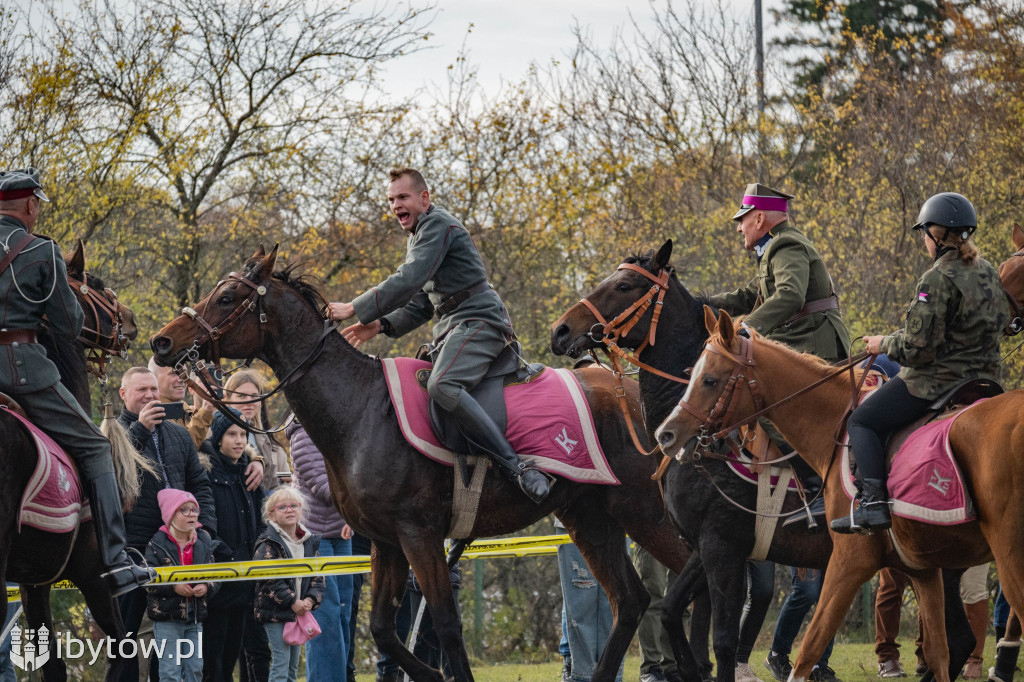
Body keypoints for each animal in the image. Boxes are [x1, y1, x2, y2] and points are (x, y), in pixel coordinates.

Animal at [2, 240, 143, 679]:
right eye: (93, 282)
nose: (130, 319)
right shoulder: (93, 576)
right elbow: (123, 648)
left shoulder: (32, 582)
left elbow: (51, 663)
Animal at [149, 244, 696, 679]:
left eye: (225, 297)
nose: (161, 341)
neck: (361, 408)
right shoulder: (388, 543)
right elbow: (384, 631)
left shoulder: (420, 537)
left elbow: (447, 626)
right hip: (590, 519)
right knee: (632, 601)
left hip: (644, 514)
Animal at [548, 240, 835, 679]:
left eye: (624, 285)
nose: (561, 331)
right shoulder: (703, 545)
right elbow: (670, 609)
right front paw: (691, 667)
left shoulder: (721, 545)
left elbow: (719, 636)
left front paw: (696, 665)